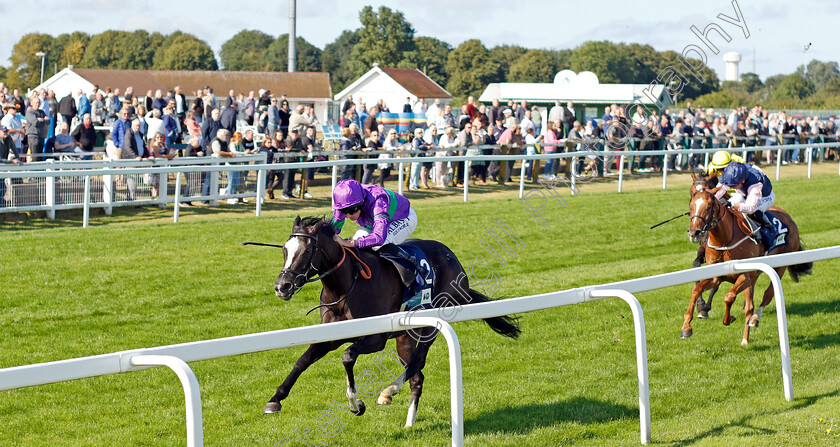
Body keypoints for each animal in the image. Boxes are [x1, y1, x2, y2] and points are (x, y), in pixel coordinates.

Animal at [266, 216, 520, 428]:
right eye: (285, 250)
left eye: (308, 250)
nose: (282, 286)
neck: (346, 286)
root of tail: (456, 262)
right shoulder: (332, 335)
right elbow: (303, 359)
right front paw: (275, 399)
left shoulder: (375, 339)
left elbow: (347, 356)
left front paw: (355, 403)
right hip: (403, 337)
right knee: (417, 376)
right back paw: (409, 422)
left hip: (432, 324)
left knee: (417, 362)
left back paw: (389, 391)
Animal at [684, 176, 812, 346]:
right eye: (691, 204)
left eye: (709, 206)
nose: (694, 232)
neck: (725, 240)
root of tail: (789, 218)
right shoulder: (716, 275)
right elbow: (696, 289)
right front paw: (687, 326)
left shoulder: (745, 274)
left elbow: (729, 296)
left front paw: (729, 318)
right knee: (750, 304)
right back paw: (746, 334)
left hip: (780, 266)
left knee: (766, 296)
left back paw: (754, 320)